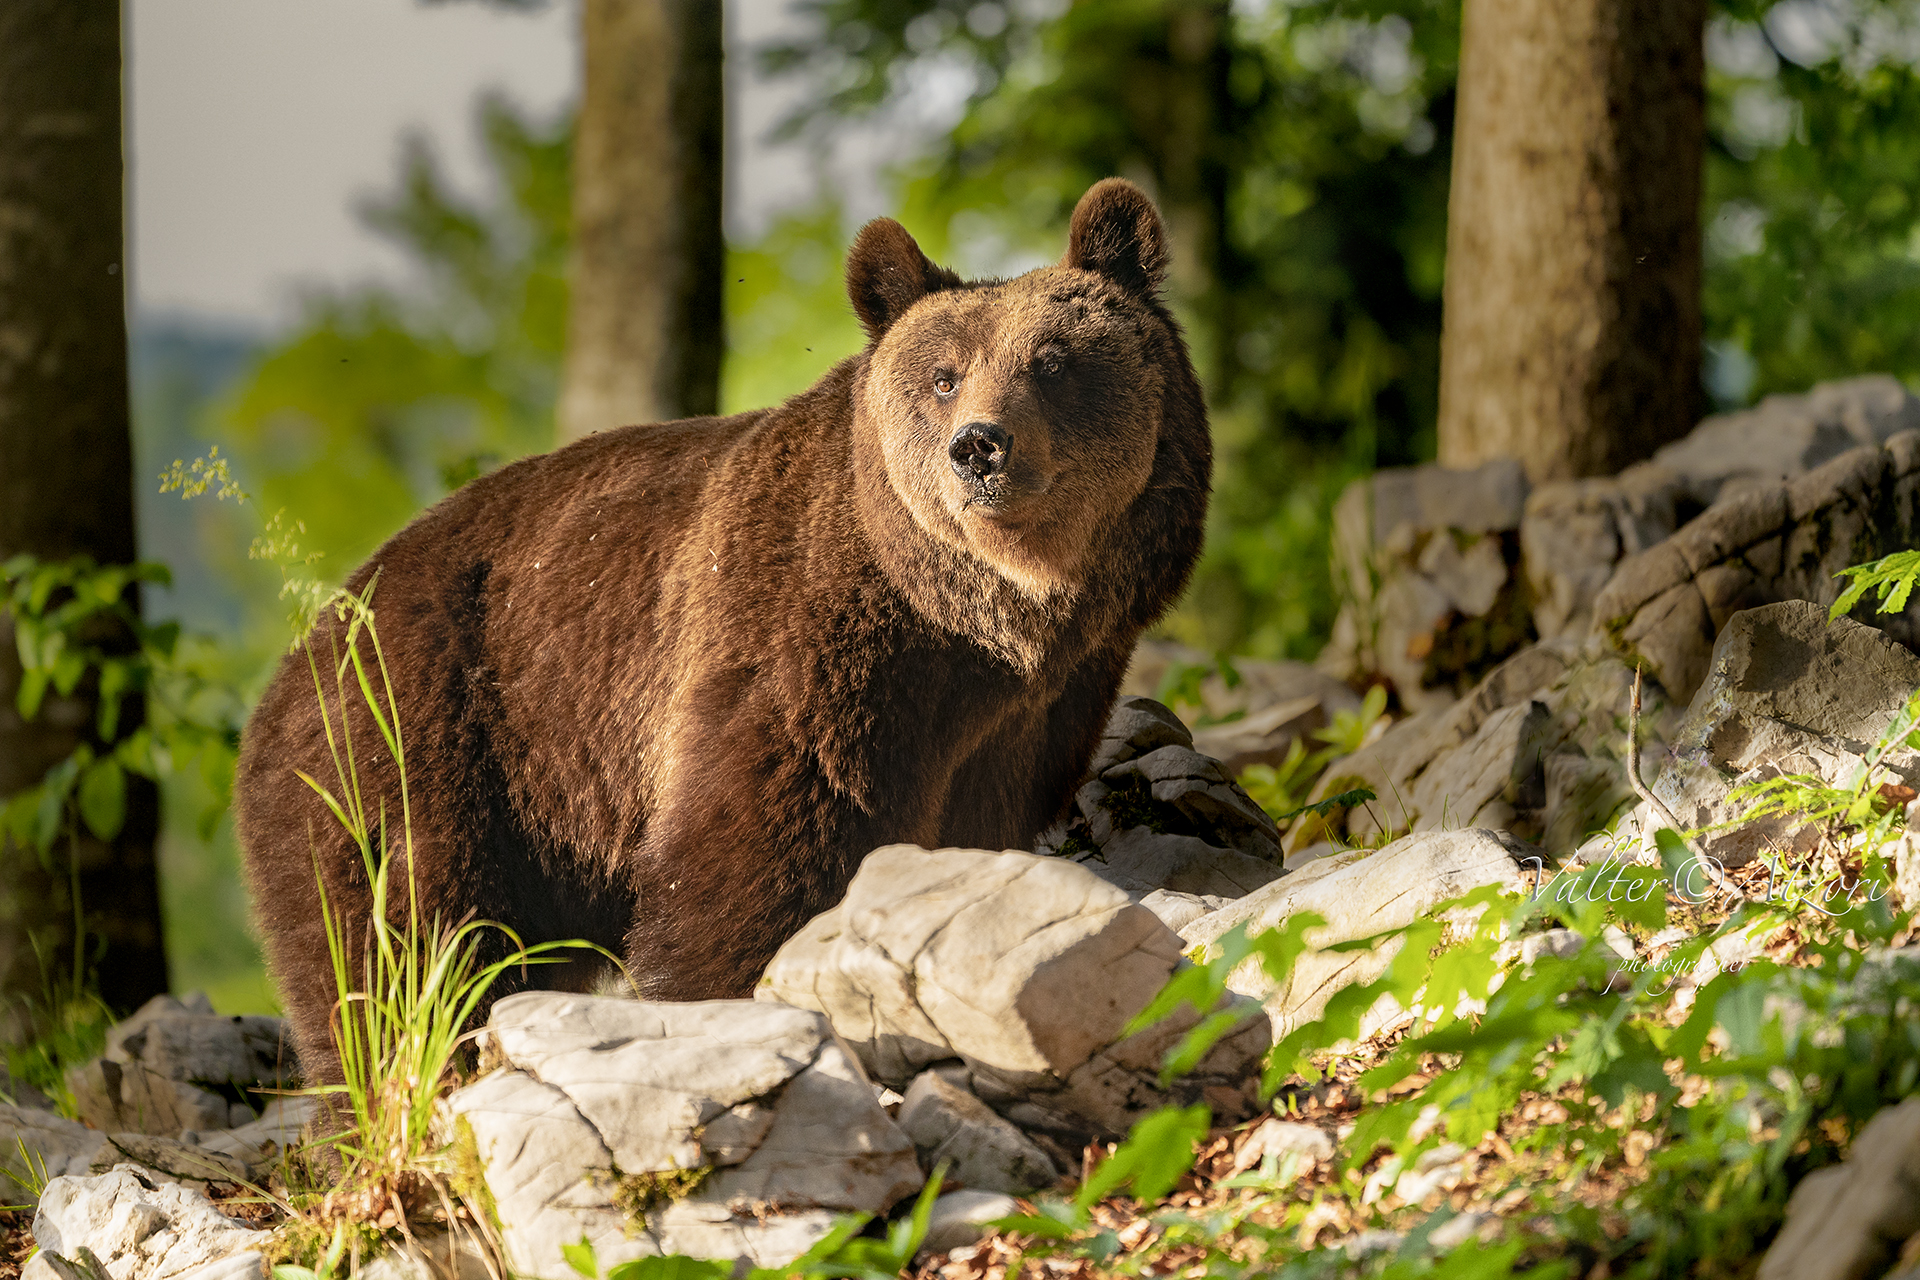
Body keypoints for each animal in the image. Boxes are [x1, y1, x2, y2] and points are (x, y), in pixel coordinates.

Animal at [233, 177, 1212, 1085]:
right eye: (943, 377)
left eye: (1051, 361)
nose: (979, 445)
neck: (975, 622)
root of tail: (302, 649)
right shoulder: (796, 646)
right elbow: (750, 854)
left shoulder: (1038, 708)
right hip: (424, 740)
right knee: (398, 950)